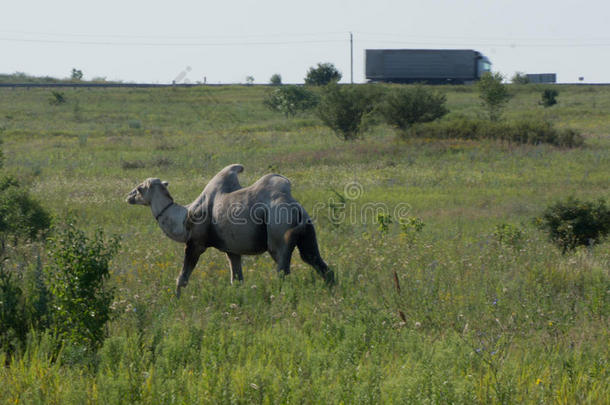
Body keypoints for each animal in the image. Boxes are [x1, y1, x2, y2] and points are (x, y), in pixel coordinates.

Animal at [124, 163, 332, 296]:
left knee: (283, 271)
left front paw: (176, 300)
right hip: (307, 233)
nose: (128, 196)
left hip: (278, 234)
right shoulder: (232, 250)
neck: (184, 219)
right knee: (317, 262)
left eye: (139, 188)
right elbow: (237, 280)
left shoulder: (196, 243)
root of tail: (296, 207)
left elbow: (182, 278)